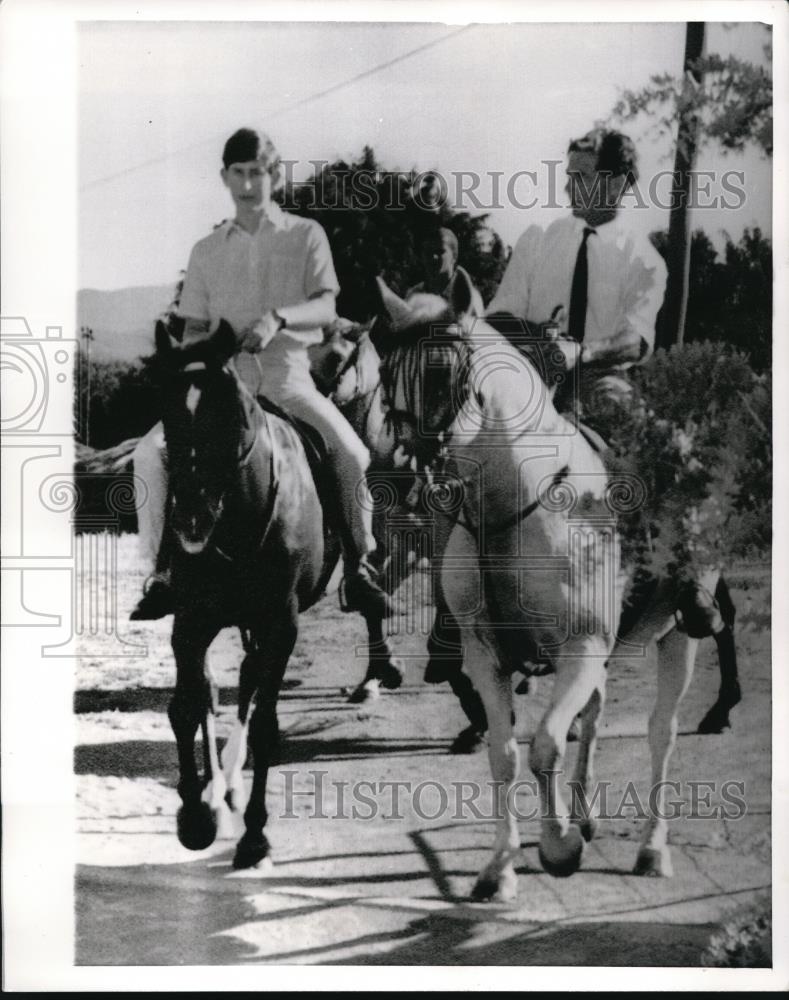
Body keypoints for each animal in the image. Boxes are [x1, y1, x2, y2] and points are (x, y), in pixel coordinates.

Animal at [372, 270, 724, 904]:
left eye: (439, 371)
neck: (515, 503)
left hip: (678, 636)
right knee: (597, 714)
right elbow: (504, 755)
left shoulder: (580, 648)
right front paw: (500, 867)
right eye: (386, 374)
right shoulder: (486, 657)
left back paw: (652, 848)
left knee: (661, 734)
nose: (396, 476)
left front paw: (558, 846)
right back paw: (585, 815)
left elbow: (544, 746)